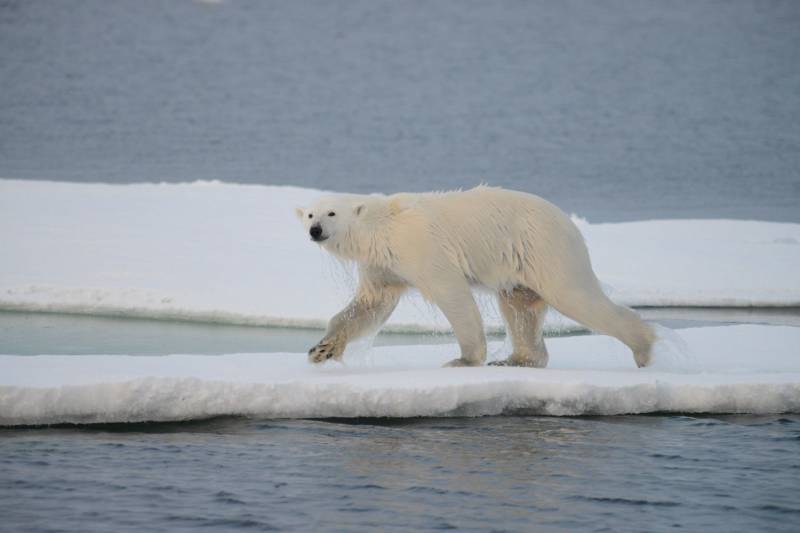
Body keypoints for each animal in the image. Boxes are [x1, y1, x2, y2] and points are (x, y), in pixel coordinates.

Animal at [296, 186, 656, 366]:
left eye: (331, 213)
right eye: (310, 214)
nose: (315, 230)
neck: (382, 226)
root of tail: (570, 223)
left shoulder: (419, 247)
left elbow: (451, 292)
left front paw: (464, 361)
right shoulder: (382, 264)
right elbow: (370, 305)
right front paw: (321, 349)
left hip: (545, 248)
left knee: (575, 296)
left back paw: (643, 348)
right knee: (520, 306)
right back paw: (517, 360)